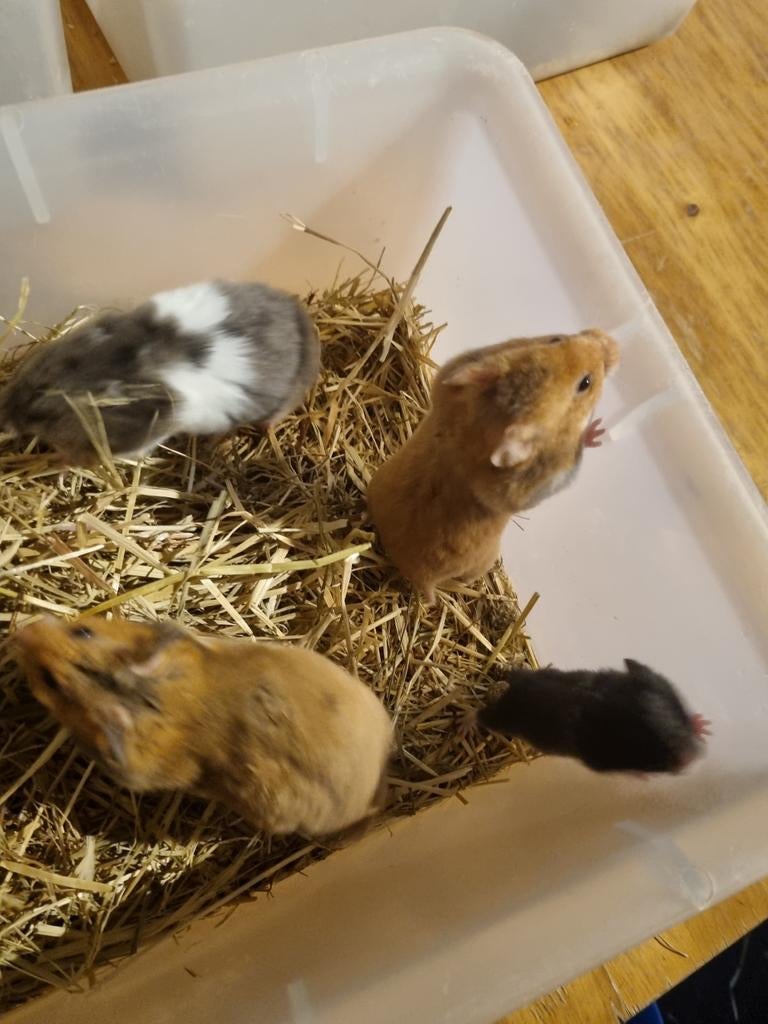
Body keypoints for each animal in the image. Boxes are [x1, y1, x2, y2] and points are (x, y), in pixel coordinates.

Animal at [367, 329, 618, 602]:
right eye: (585, 383)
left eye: (555, 339)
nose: (612, 343)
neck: (484, 417)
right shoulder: (534, 487)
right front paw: (595, 432)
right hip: (483, 562)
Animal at [464, 659, 710, 775]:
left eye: (676, 701)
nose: (700, 753)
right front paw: (642, 776)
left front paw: (703, 725)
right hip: (505, 718)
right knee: (481, 715)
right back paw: (465, 720)